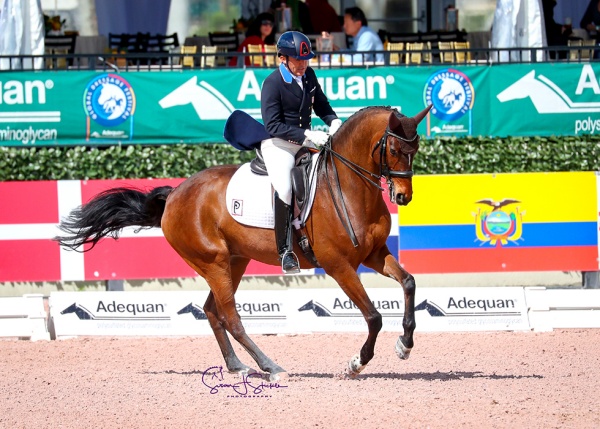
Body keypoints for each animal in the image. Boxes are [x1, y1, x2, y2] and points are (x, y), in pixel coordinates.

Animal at [54, 104, 432, 382]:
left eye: (415, 150)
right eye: (394, 148)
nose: (404, 197)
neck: (350, 186)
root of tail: (175, 193)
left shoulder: (374, 255)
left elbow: (409, 282)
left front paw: (405, 344)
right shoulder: (339, 266)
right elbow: (373, 316)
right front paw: (357, 362)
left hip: (233, 261)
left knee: (212, 311)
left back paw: (238, 366)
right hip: (214, 263)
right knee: (231, 317)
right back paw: (271, 368)